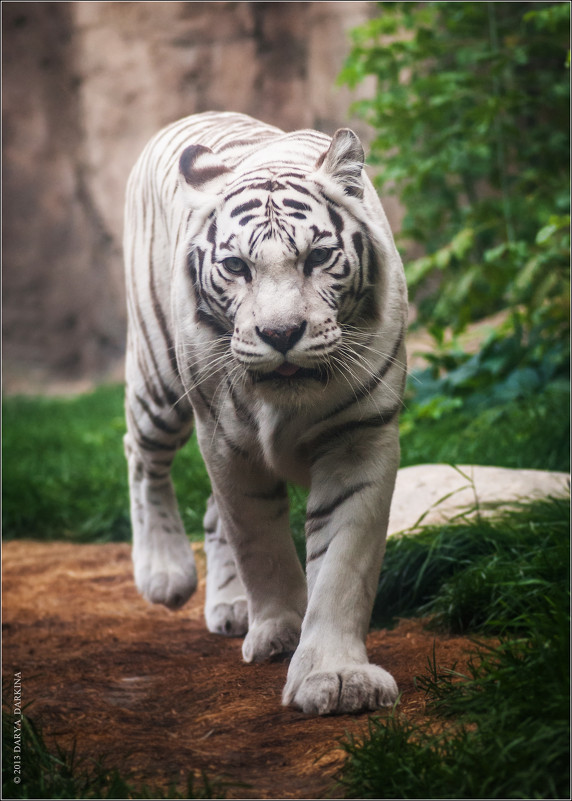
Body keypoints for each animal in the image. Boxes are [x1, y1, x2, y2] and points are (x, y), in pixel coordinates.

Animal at [122, 111, 406, 712]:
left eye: (318, 257)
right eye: (236, 266)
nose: (280, 334)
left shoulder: (360, 437)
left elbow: (343, 564)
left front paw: (337, 678)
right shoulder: (226, 442)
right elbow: (258, 540)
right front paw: (278, 631)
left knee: (208, 511)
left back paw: (229, 607)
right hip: (159, 378)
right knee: (142, 454)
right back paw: (164, 571)